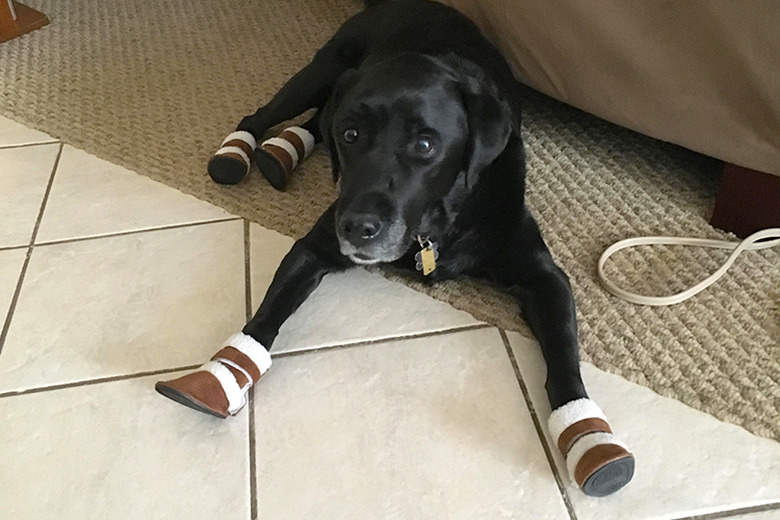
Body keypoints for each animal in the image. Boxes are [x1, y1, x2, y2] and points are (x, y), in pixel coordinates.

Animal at [169, 0, 632, 498]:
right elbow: (264, 319)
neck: (435, 223)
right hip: (320, 71)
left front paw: (591, 438)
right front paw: (220, 375)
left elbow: (564, 357)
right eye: (352, 136)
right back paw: (239, 153)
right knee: (268, 116)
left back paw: (281, 153)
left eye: (425, 144)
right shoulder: (314, 247)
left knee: (315, 121)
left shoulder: (544, 276)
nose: (357, 227)